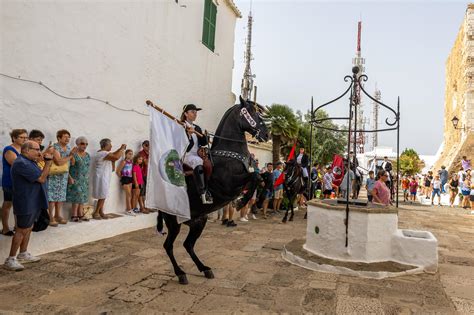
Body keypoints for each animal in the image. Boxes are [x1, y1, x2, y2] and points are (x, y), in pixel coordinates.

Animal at [160, 97, 268, 286]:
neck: (229, 154)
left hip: (198, 222)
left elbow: (259, 178)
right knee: (169, 246)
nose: (267, 134)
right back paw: (181, 273)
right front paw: (241, 202)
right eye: (252, 112)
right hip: (174, 223)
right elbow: (254, 177)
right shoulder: (230, 185)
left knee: (188, 245)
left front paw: (253, 203)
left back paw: (205, 269)